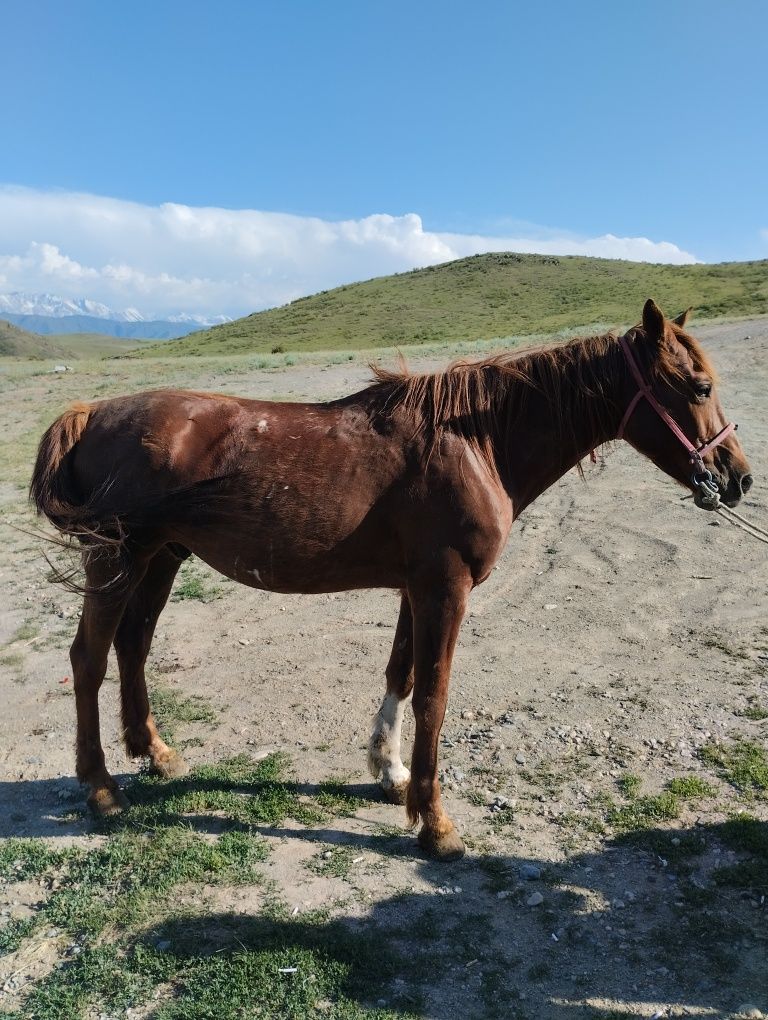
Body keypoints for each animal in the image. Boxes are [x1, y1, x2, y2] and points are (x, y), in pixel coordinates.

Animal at [29, 299, 750, 860]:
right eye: (698, 387)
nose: (738, 479)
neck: (475, 443)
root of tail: (94, 412)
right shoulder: (445, 588)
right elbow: (434, 694)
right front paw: (434, 822)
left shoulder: (416, 586)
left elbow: (401, 675)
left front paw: (390, 769)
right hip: (115, 560)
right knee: (89, 658)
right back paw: (100, 786)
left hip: (160, 558)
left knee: (133, 647)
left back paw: (155, 752)